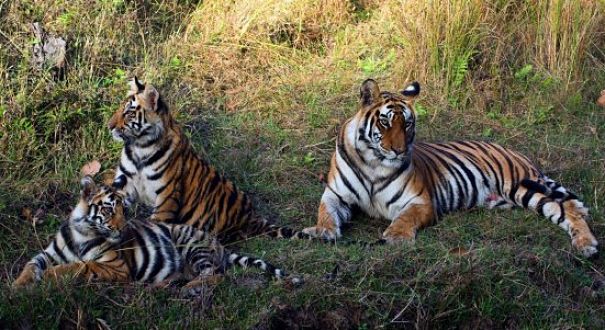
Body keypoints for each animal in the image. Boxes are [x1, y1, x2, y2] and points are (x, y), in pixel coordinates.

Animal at [13, 175, 288, 288]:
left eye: (124, 209)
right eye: (110, 209)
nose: (122, 228)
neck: (84, 232)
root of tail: (219, 245)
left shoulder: (118, 268)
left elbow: (81, 266)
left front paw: (51, 276)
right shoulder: (47, 254)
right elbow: (30, 264)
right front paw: (17, 287)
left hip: (190, 244)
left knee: (215, 275)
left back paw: (189, 289)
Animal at [105, 76, 310, 242]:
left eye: (129, 113)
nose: (109, 126)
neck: (140, 147)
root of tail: (253, 218)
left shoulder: (167, 195)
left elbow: (154, 226)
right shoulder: (125, 184)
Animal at [302, 78, 600, 258]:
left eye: (407, 124)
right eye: (385, 122)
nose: (399, 150)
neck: (373, 163)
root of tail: (517, 153)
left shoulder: (420, 202)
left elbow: (404, 219)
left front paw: (396, 237)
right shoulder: (336, 195)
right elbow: (326, 212)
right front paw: (322, 231)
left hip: (521, 186)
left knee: (566, 209)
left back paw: (587, 245)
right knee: (565, 206)